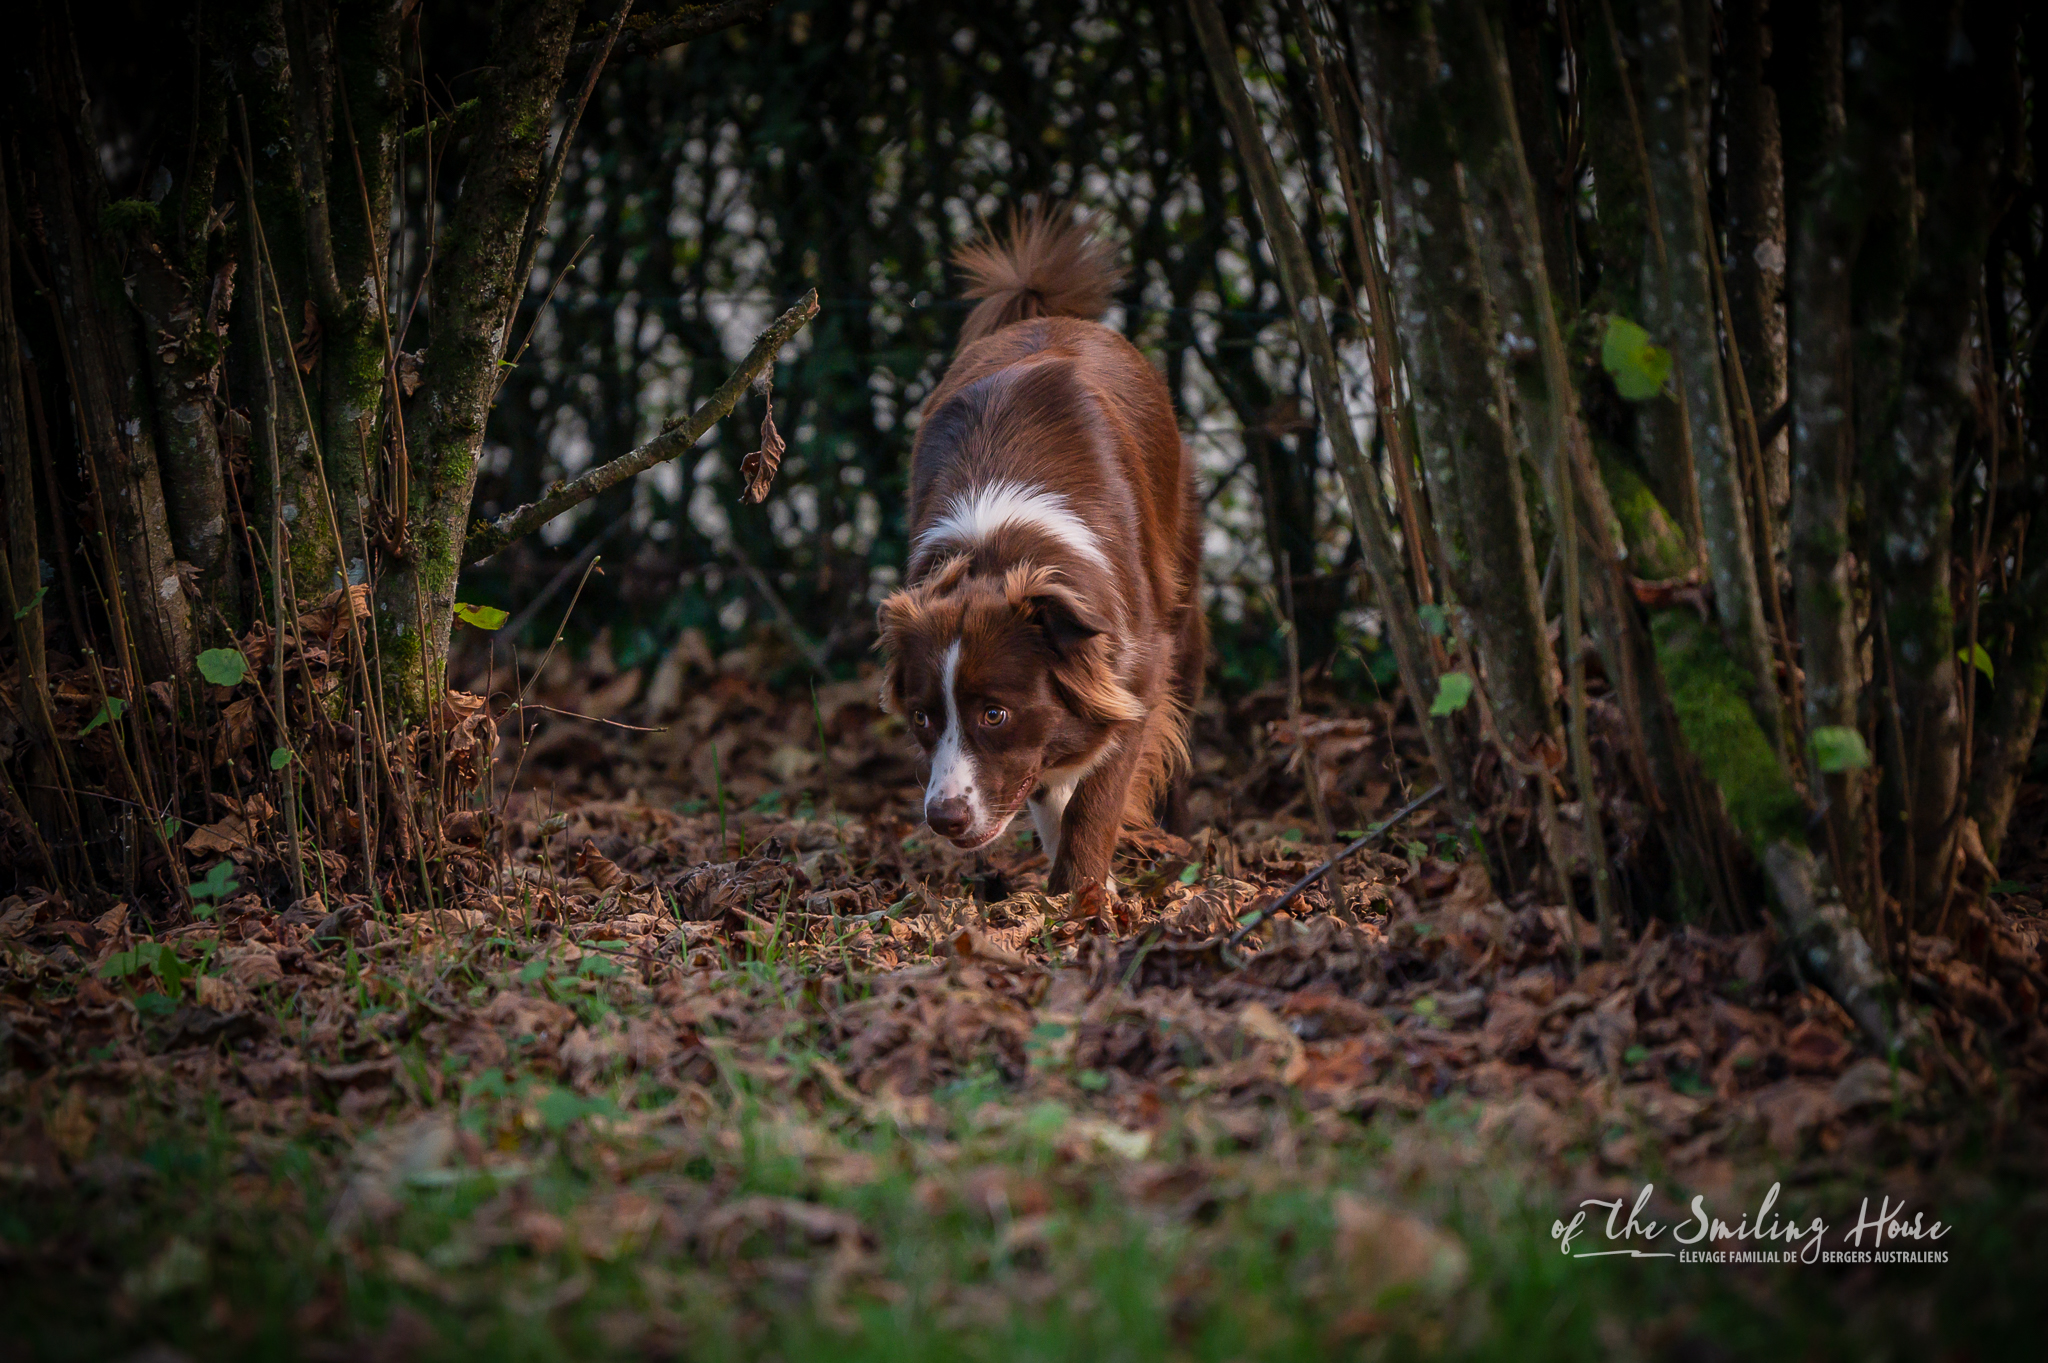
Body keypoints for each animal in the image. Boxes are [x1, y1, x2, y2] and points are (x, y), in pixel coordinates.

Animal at [876, 206, 1206, 895]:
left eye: (994, 715)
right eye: (921, 717)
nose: (943, 819)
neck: (997, 553)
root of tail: (1046, 312)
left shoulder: (1131, 661)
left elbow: (1097, 792)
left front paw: (1083, 896)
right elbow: (1050, 786)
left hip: (1183, 592)